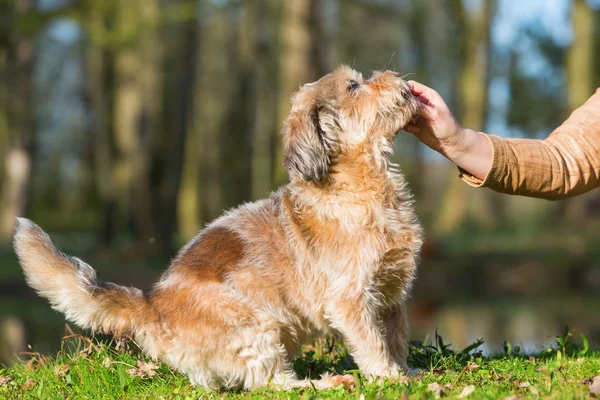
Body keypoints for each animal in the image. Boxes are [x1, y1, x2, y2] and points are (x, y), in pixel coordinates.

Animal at [12, 65, 422, 390]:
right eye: (353, 86)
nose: (393, 74)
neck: (362, 184)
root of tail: (152, 305)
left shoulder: (390, 294)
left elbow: (396, 338)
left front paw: (407, 372)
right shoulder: (351, 299)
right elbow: (372, 343)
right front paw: (387, 377)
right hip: (254, 325)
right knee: (274, 384)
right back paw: (329, 383)